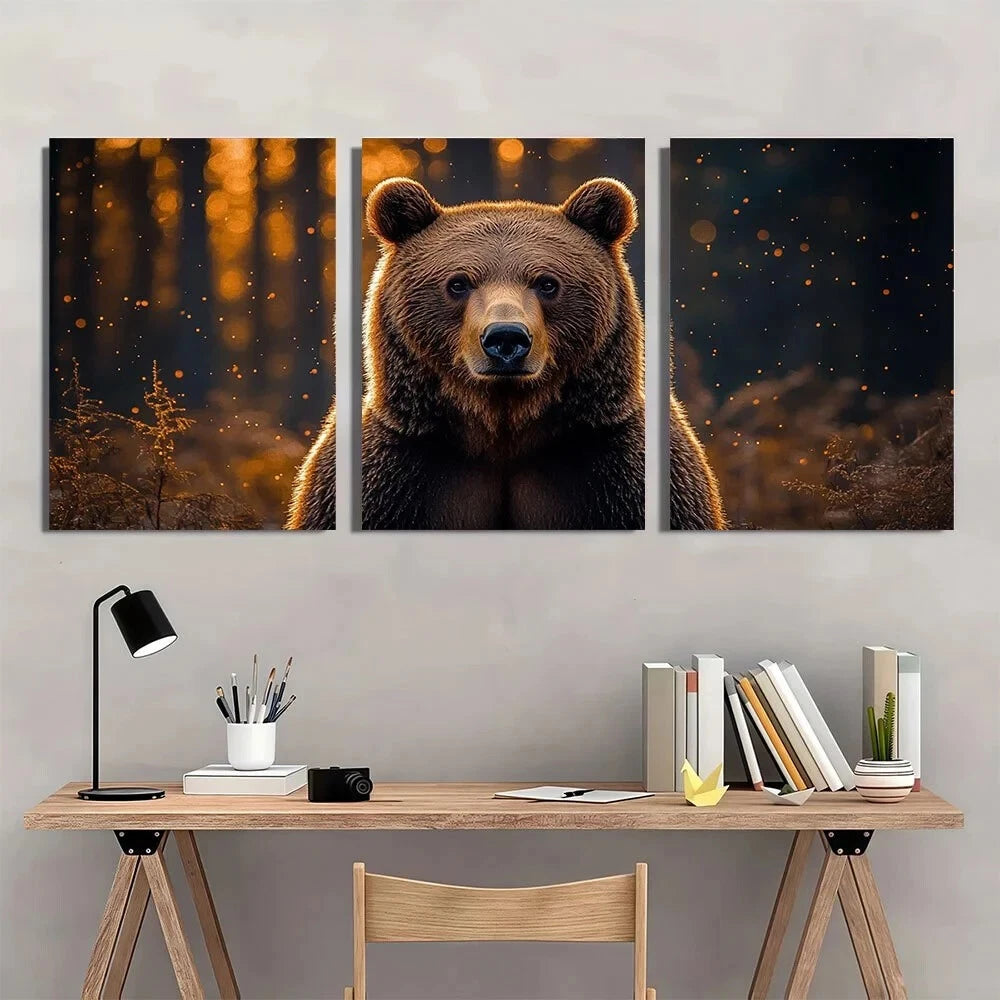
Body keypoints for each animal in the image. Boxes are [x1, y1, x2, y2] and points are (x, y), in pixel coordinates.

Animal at [287, 175, 724, 530]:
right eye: (458, 283)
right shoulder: (395, 473)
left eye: (547, 283)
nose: (506, 338)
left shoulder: (619, 468)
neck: (503, 427)